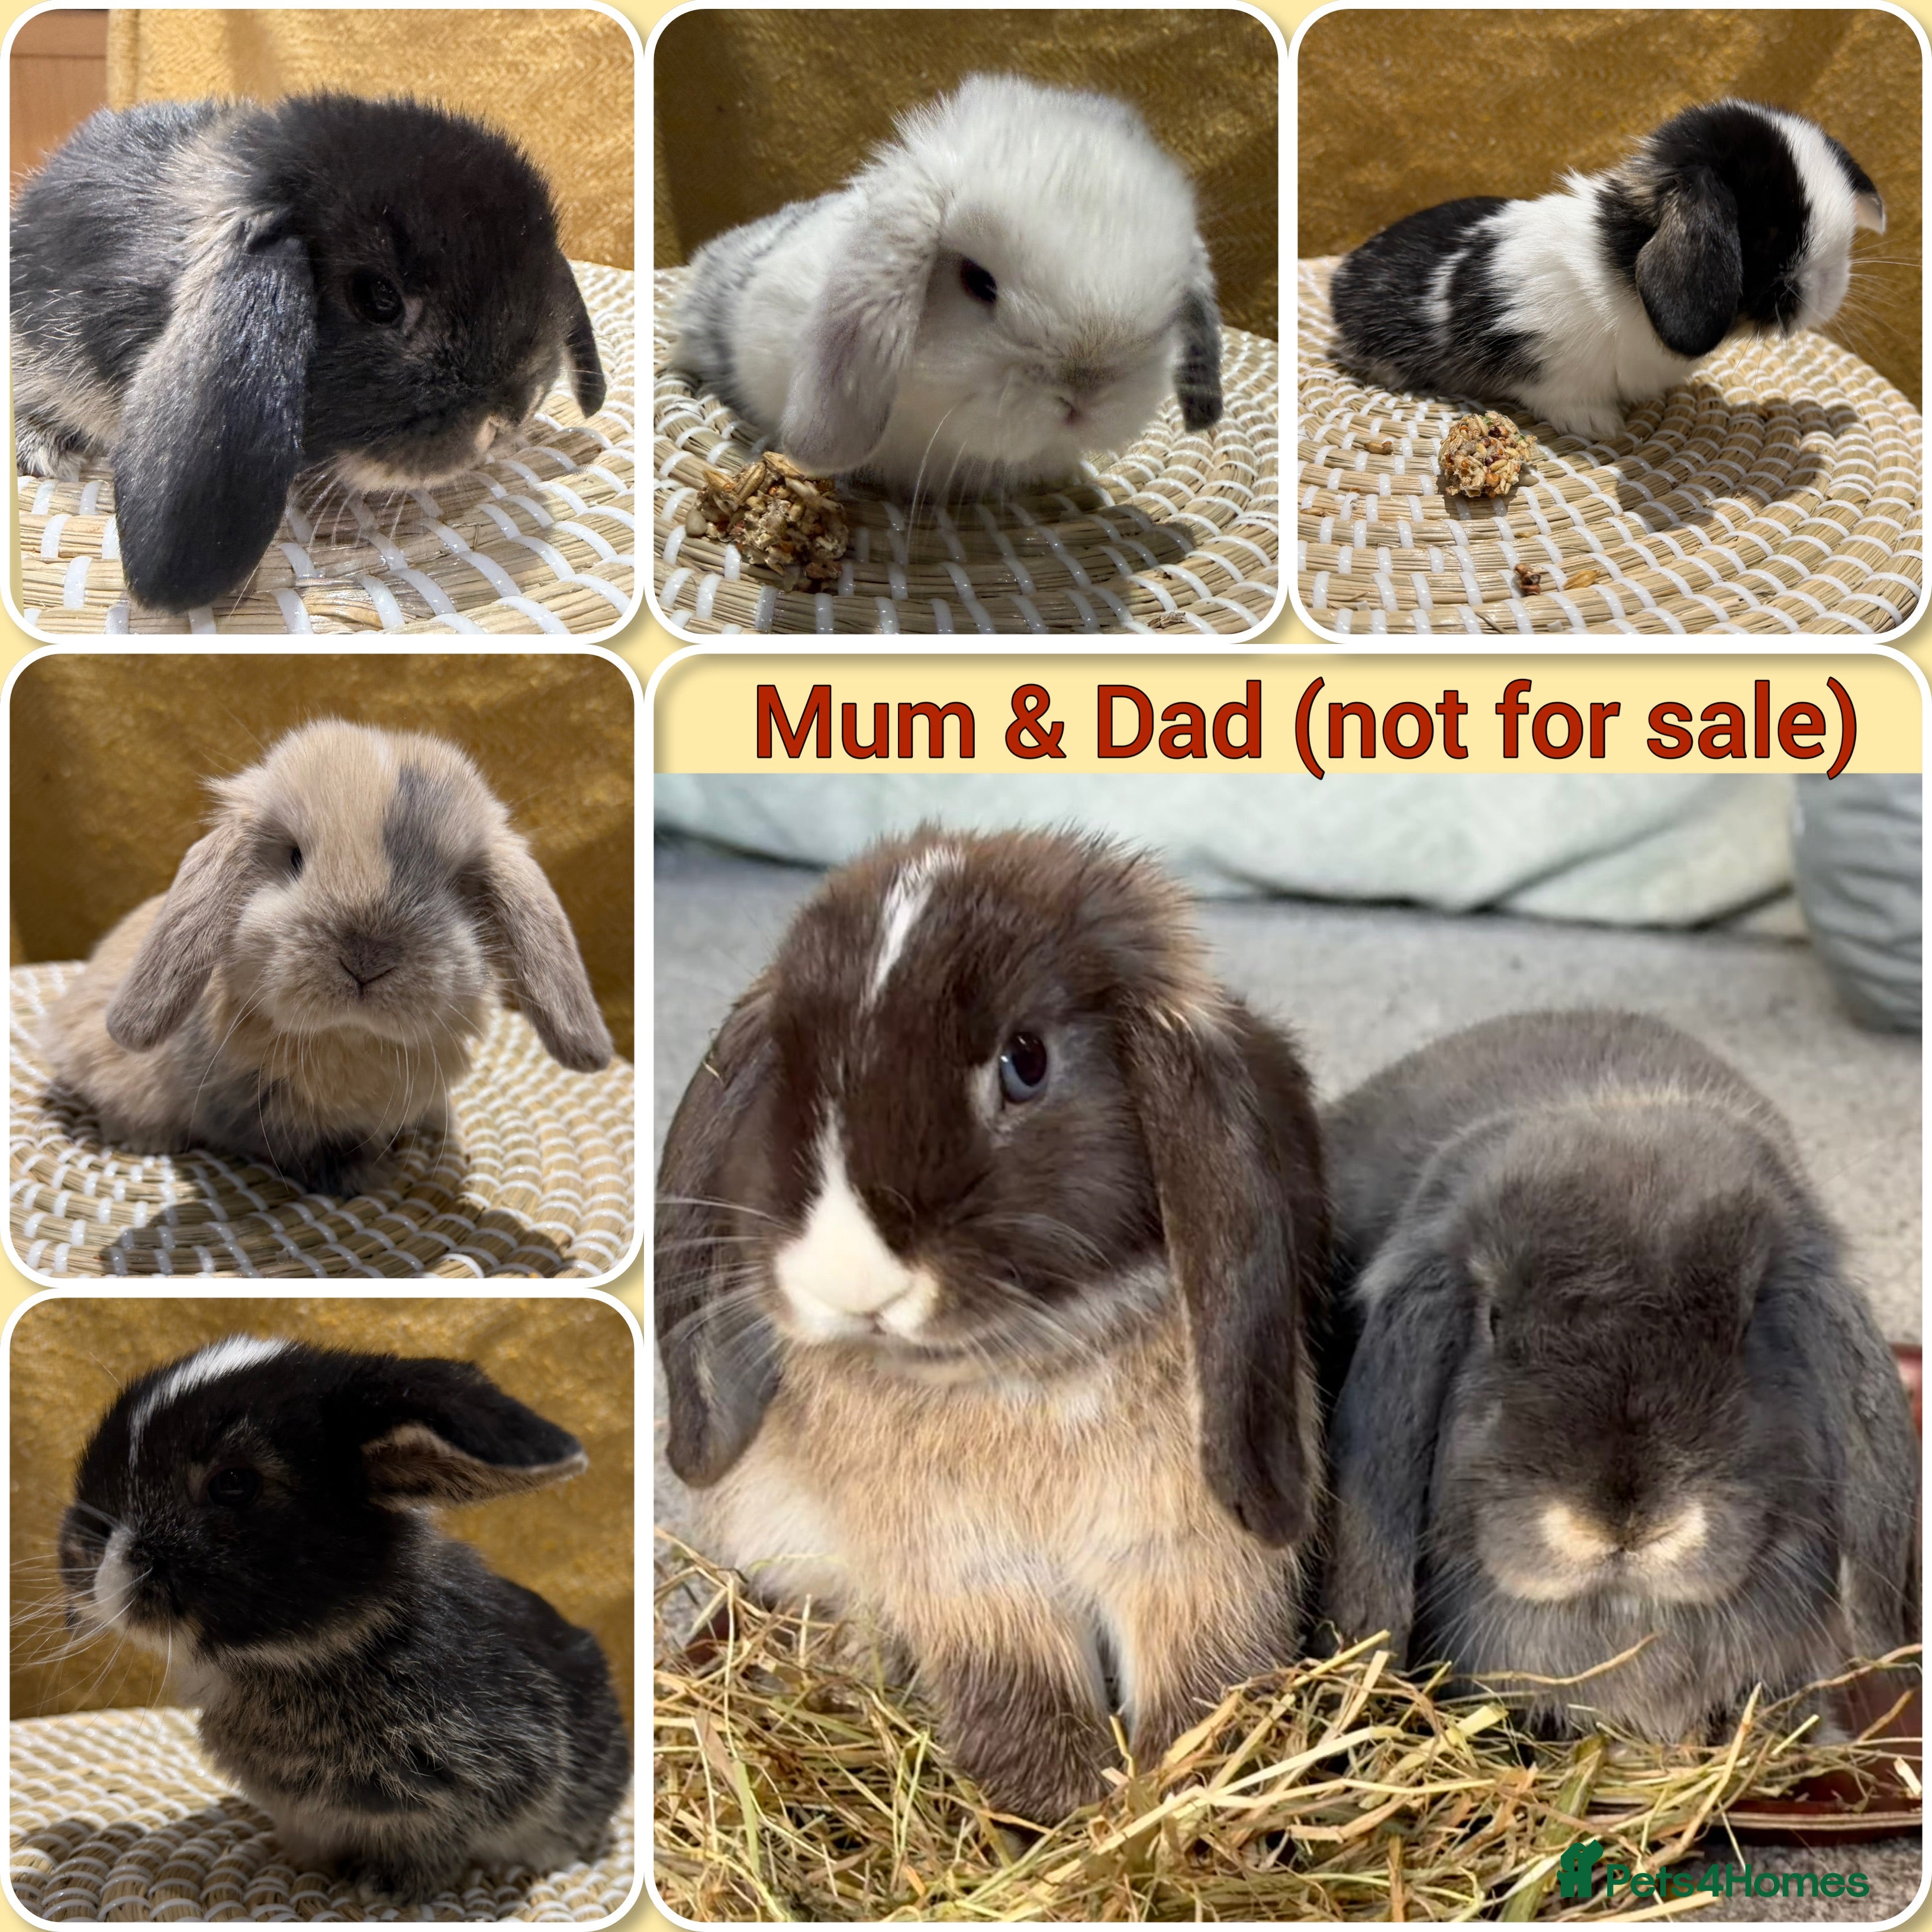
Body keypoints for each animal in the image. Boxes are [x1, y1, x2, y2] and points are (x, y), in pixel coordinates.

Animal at [42, 719, 612, 1197]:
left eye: (456, 885)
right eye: (294, 858)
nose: (365, 961)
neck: (352, 1037)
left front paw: (428, 1129)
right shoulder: (259, 1116)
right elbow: (313, 1151)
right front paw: (370, 1176)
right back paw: (148, 1140)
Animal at [655, 828, 1328, 1822]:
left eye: (1027, 1061)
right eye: (790, 1068)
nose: (851, 1277)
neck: (1018, 1369)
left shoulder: (1191, 1564)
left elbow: (1200, 1688)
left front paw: (1174, 1804)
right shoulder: (973, 1584)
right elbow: (1022, 1702)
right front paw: (1064, 1815)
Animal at [1329, 100, 1885, 443]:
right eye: (1769, 231)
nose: (1831, 287)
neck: (1620, 258)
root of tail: (1342, 275)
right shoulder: (1545, 360)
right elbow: (1561, 394)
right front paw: (1599, 426)